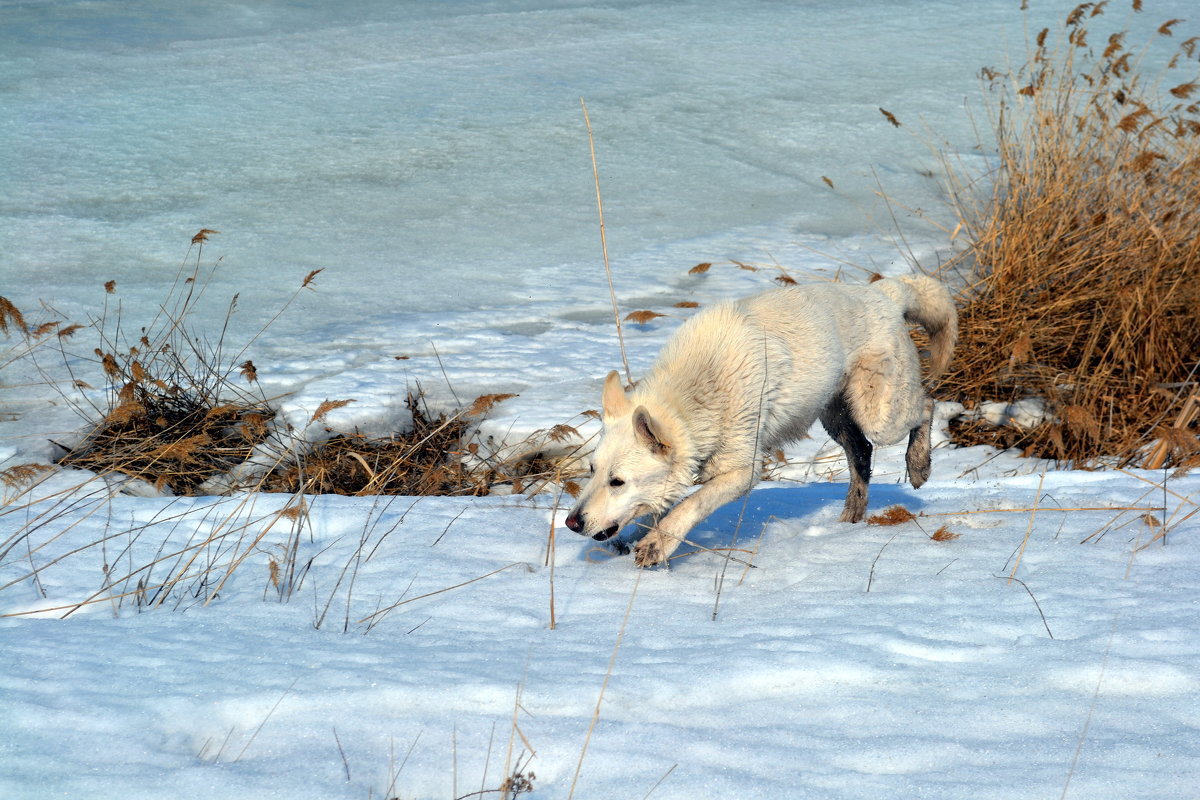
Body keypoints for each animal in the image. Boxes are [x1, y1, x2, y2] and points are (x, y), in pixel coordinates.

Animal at [561, 275, 955, 568]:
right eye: (592, 471)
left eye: (617, 482)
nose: (571, 523)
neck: (697, 395)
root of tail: (884, 291)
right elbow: (658, 507)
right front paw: (636, 536)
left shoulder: (742, 470)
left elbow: (691, 504)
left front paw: (656, 544)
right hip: (835, 416)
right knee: (862, 454)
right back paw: (850, 516)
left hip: (879, 414)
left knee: (926, 404)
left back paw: (918, 465)